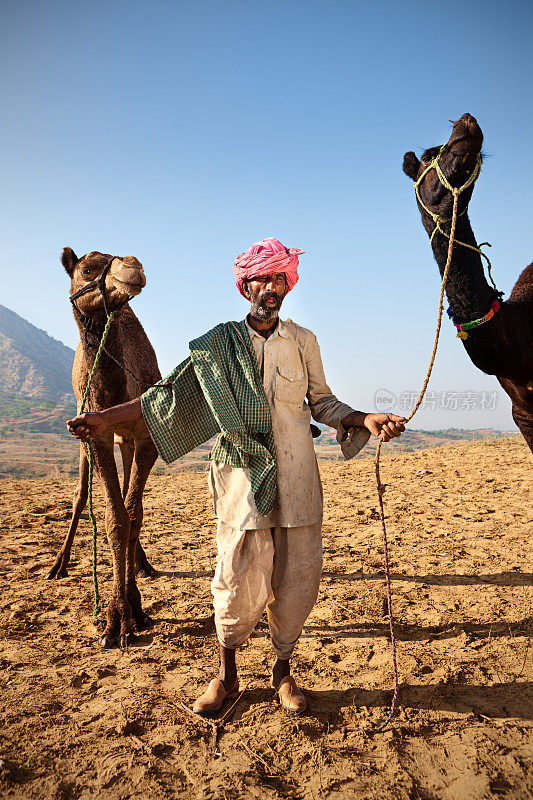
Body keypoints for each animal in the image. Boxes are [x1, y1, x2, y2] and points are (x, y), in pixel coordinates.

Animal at [52, 247, 161, 648]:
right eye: (86, 270)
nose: (133, 266)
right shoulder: (94, 433)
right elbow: (115, 518)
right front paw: (116, 620)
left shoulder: (144, 436)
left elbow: (133, 515)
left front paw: (134, 608)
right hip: (85, 438)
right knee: (81, 495)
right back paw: (59, 564)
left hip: (126, 442)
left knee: (132, 504)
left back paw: (142, 564)